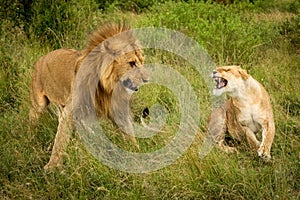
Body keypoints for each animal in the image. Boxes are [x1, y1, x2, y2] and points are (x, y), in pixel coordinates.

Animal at [29, 22, 149, 170]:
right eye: (131, 63)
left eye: (142, 62)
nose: (147, 79)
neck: (107, 88)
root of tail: (42, 57)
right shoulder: (70, 111)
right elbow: (60, 140)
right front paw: (52, 166)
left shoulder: (118, 111)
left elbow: (129, 134)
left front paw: (138, 155)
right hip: (38, 104)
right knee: (32, 120)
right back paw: (30, 137)